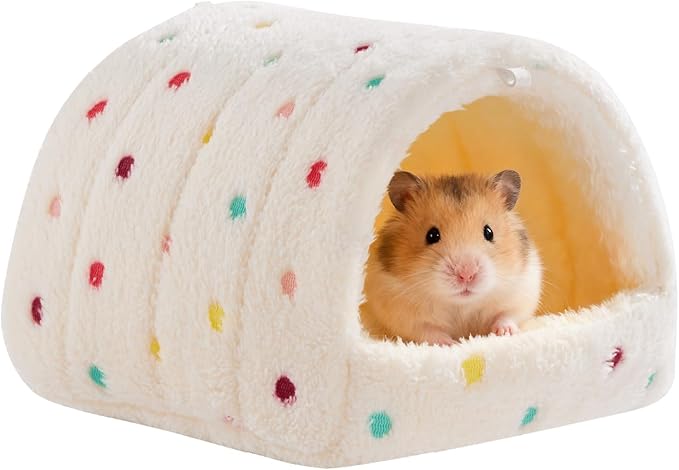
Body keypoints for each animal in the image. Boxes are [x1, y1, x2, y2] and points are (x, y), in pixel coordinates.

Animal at [361, 170, 542, 346]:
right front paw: (451, 343)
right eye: (432, 235)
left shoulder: (521, 293)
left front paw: (504, 332)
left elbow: (507, 316)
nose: (467, 274)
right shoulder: (403, 316)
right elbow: (428, 331)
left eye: (489, 232)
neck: (460, 304)